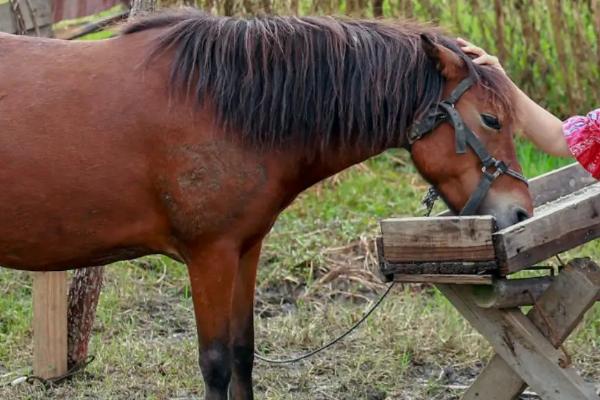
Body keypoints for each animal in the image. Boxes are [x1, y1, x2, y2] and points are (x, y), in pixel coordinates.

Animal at [1, 9, 536, 400]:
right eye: (491, 119)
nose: (520, 213)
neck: (223, 106)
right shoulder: (210, 257)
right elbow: (216, 363)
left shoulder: (245, 249)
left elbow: (243, 353)